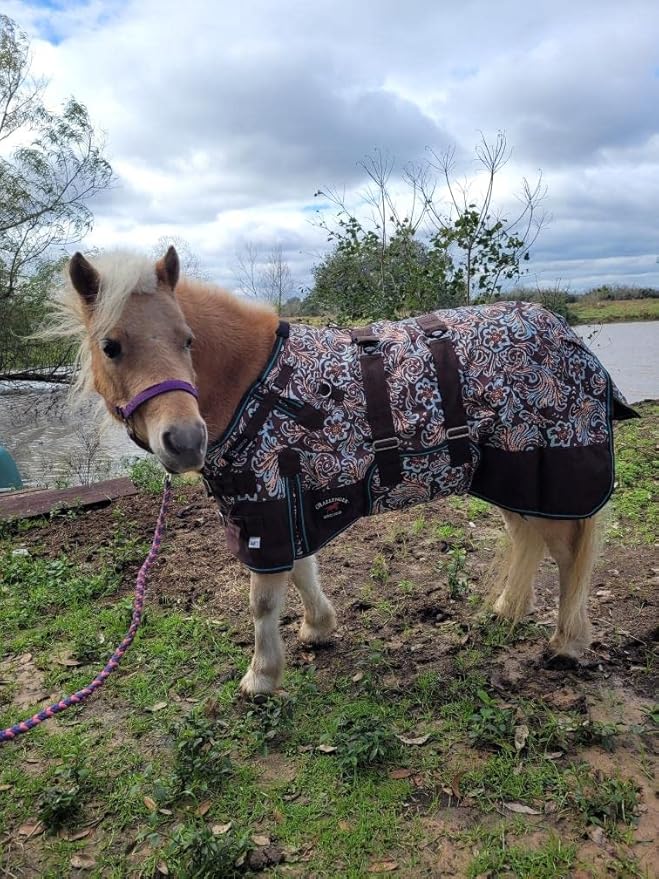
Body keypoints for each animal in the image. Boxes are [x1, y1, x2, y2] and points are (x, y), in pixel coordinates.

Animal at [47, 246, 636, 697]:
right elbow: (304, 572)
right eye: (111, 346)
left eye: (187, 340)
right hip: (512, 481)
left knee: (568, 560)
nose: (186, 440)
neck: (258, 384)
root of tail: (565, 333)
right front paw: (317, 629)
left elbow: (264, 601)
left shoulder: (267, 512)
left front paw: (261, 677)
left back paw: (567, 643)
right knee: (527, 541)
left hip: (553, 484)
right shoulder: (290, 504)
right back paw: (508, 610)